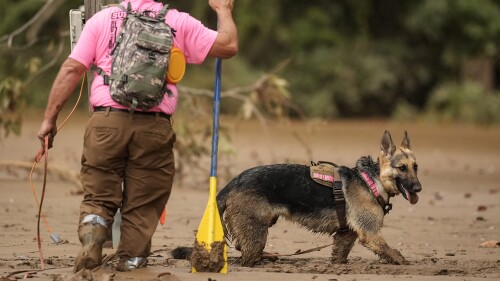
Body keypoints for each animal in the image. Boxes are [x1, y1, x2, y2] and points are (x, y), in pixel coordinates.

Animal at [173, 130, 422, 266]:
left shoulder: (346, 235)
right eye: (402, 168)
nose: (418, 188)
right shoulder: (370, 235)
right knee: (246, 258)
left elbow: (339, 255)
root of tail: (234, 181)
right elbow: (395, 253)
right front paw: (406, 263)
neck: (372, 179)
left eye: (416, 167)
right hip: (256, 234)